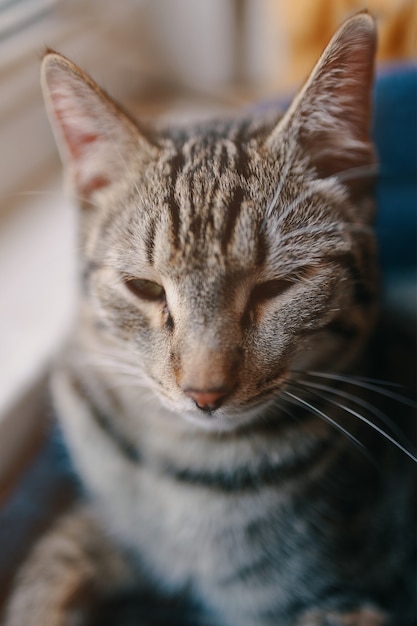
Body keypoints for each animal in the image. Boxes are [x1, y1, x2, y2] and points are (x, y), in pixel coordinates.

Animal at [1, 12, 414, 624]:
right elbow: (52, 561)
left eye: (276, 287)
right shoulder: (110, 529)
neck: (184, 473)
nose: (205, 392)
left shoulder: (341, 601)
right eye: (145, 288)